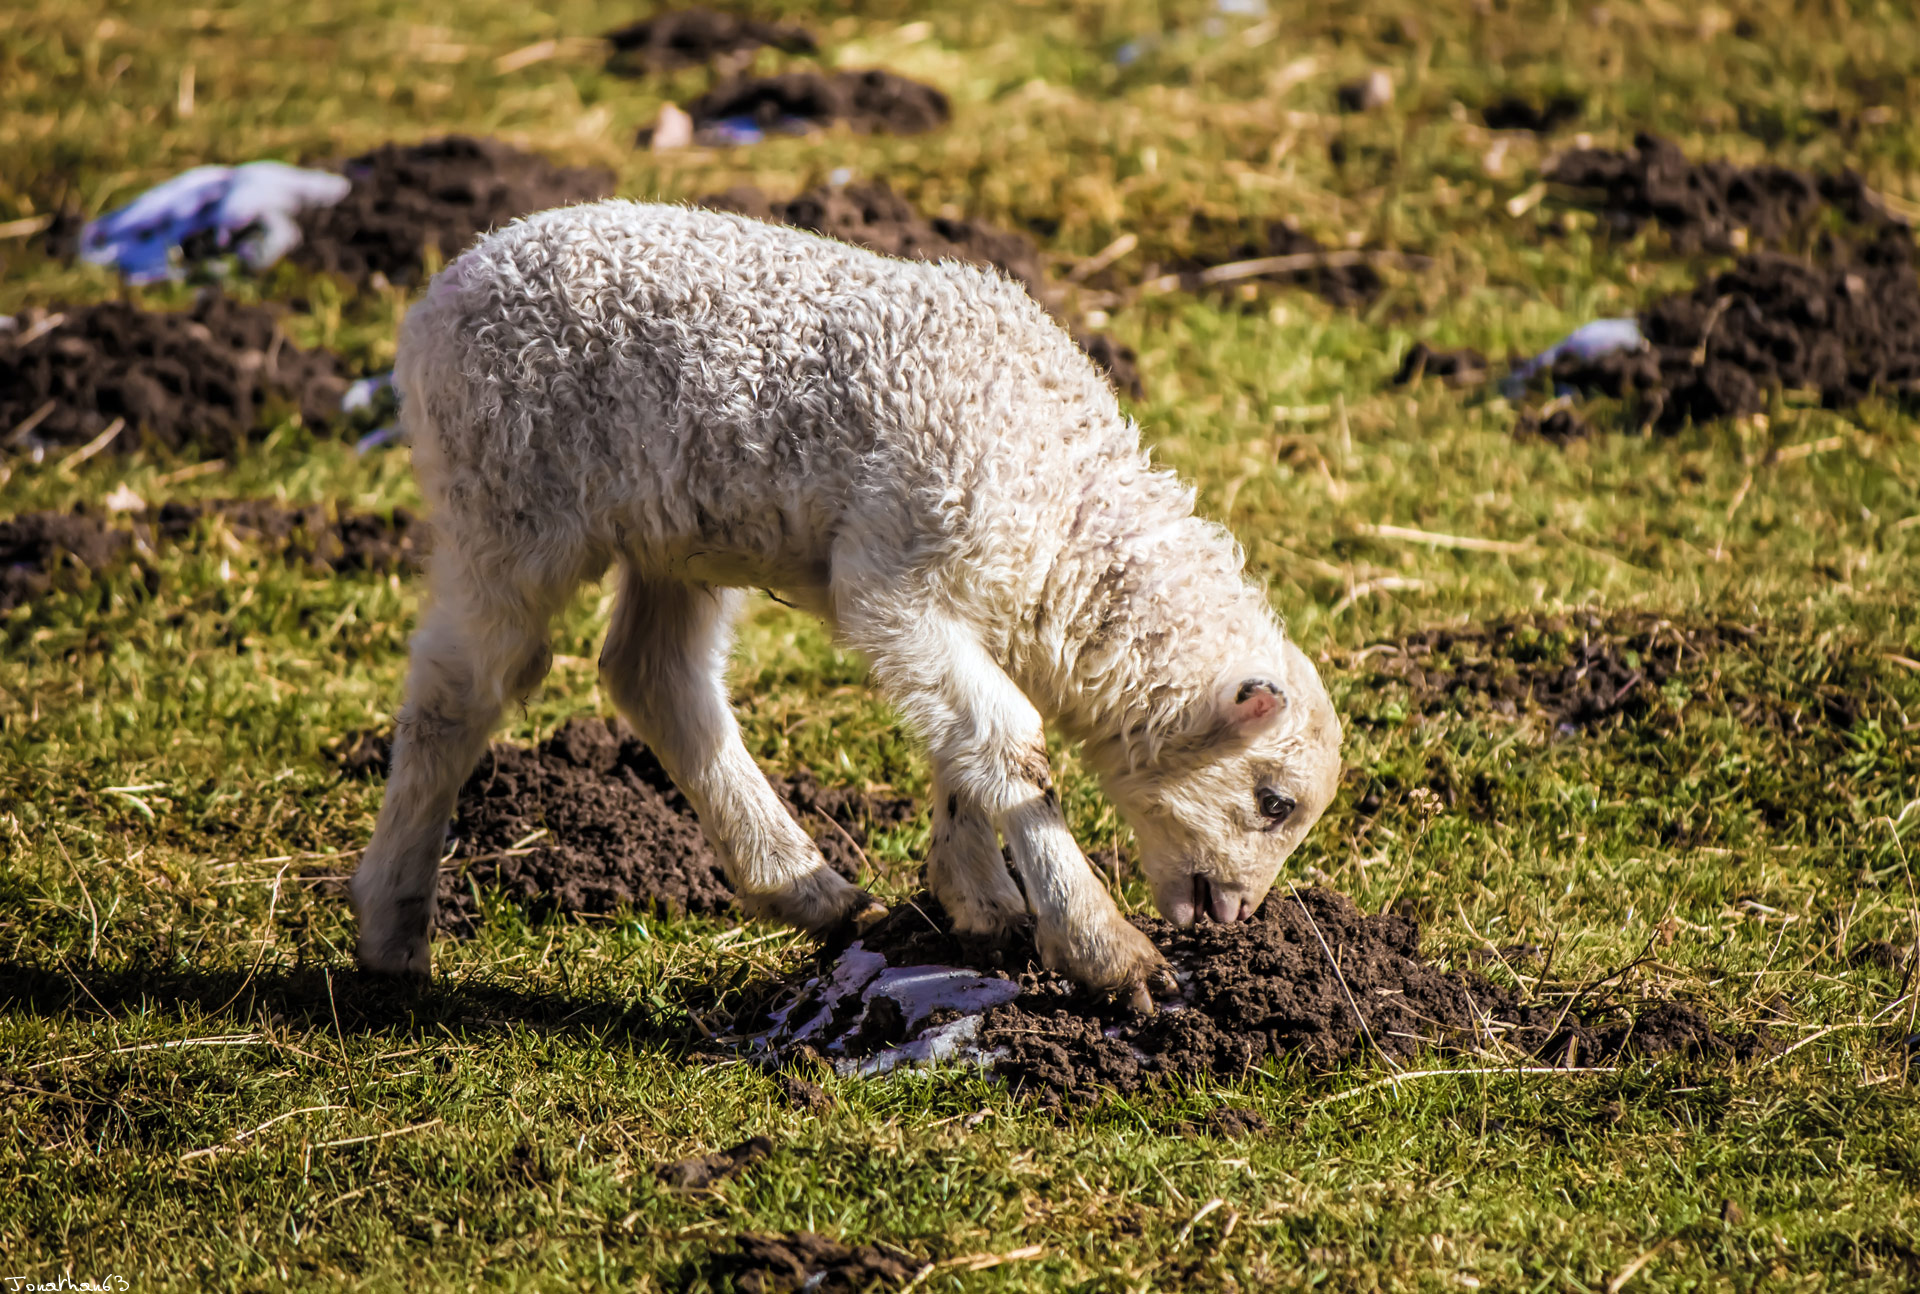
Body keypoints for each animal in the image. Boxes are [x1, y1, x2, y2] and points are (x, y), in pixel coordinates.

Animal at [349, 201, 1336, 1006]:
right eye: (1273, 802)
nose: (1236, 914)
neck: (1061, 517)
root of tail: (452, 279)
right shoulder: (895, 577)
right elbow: (1010, 743)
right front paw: (1101, 946)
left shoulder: (951, 601)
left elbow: (964, 747)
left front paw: (979, 899)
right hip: (502, 506)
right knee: (459, 694)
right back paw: (391, 930)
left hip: (675, 529)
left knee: (657, 678)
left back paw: (805, 888)